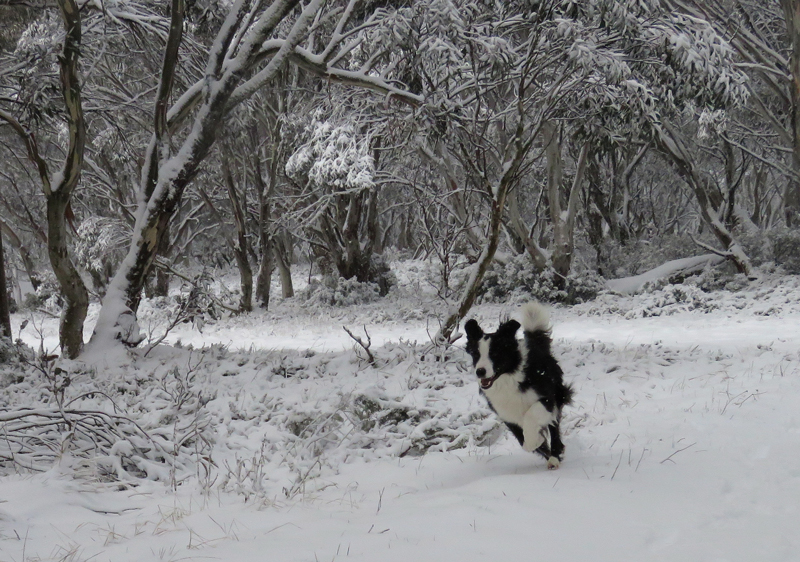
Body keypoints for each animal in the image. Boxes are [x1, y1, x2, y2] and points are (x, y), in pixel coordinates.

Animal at [466, 302, 572, 468]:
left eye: (494, 353)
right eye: (476, 354)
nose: (480, 372)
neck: (509, 378)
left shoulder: (546, 398)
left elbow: (531, 416)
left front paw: (535, 440)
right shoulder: (507, 415)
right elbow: (524, 442)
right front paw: (537, 442)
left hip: (558, 393)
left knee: (554, 427)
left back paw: (554, 457)